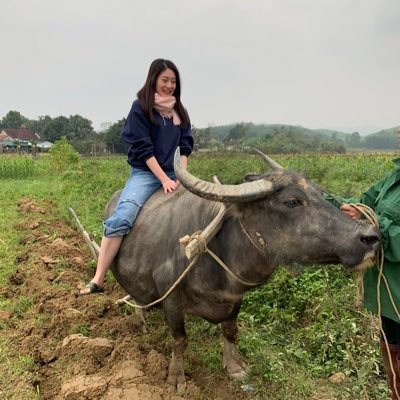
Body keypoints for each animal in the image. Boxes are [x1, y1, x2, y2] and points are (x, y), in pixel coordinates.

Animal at [108, 149, 380, 390]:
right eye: (292, 202)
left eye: (321, 194)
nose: (371, 236)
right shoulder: (172, 300)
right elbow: (180, 340)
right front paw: (176, 378)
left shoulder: (235, 297)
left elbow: (230, 330)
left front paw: (235, 367)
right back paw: (138, 321)